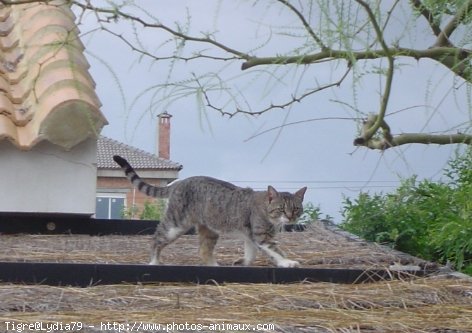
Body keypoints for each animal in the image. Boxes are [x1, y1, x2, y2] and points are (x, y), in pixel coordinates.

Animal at [113, 155, 308, 268]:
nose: (290, 217)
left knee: (203, 251)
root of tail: (179, 182)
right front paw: (288, 262)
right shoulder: (261, 235)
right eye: (281, 209)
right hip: (175, 225)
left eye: (296, 208)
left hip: (209, 230)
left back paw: (214, 266)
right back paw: (154, 261)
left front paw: (243, 261)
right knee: (156, 239)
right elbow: (275, 250)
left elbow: (250, 253)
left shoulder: (250, 236)